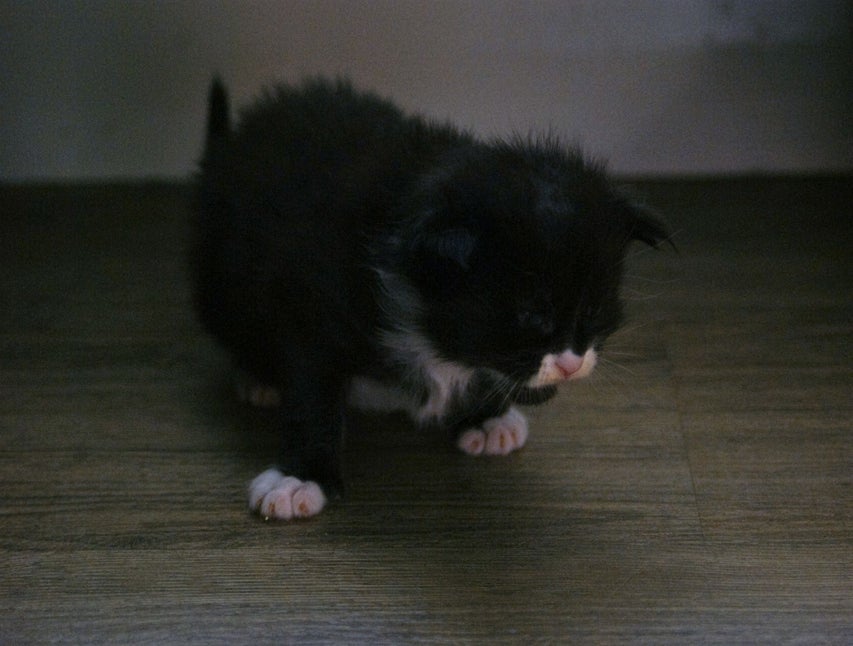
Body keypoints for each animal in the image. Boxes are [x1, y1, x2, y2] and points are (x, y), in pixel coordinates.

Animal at [191, 76, 671, 521]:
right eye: (531, 316)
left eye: (593, 310)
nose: (572, 363)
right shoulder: (314, 310)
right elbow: (312, 396)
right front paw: (300, 476)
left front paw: (486, 417)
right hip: (221, 284)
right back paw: (258, 375)